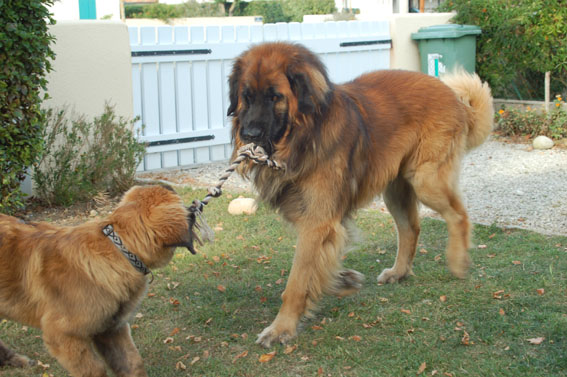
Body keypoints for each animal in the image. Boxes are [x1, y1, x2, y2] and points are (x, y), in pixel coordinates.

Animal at [0, 185, 196, 376]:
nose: (195, 206)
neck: (119, 248)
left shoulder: (111, 329)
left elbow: (132, 364)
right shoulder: (64, 337)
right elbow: (95, 370)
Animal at [229, 41, 494, 346]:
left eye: (275, 97)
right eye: (246, 97)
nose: (249, 134)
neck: (304, 135)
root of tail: (454, 98)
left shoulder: (316, 223)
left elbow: (297, 280)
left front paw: (281, 328)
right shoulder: (320, 224)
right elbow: (320, 267)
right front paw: (344, 280)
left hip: (426, 181)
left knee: (458, 215)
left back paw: (458, 261)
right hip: (396, 189)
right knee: (411, 228)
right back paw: (399, 272)